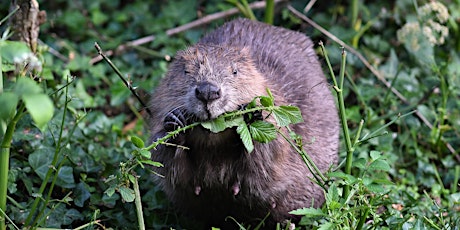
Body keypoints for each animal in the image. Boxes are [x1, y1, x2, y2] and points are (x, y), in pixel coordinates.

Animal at [149, 18, 340, 228]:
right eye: (185, 71)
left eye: (235, 71)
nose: (208, 91)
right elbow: (169, 168)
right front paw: (175, 123)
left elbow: (269, 160)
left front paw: (251, 115)